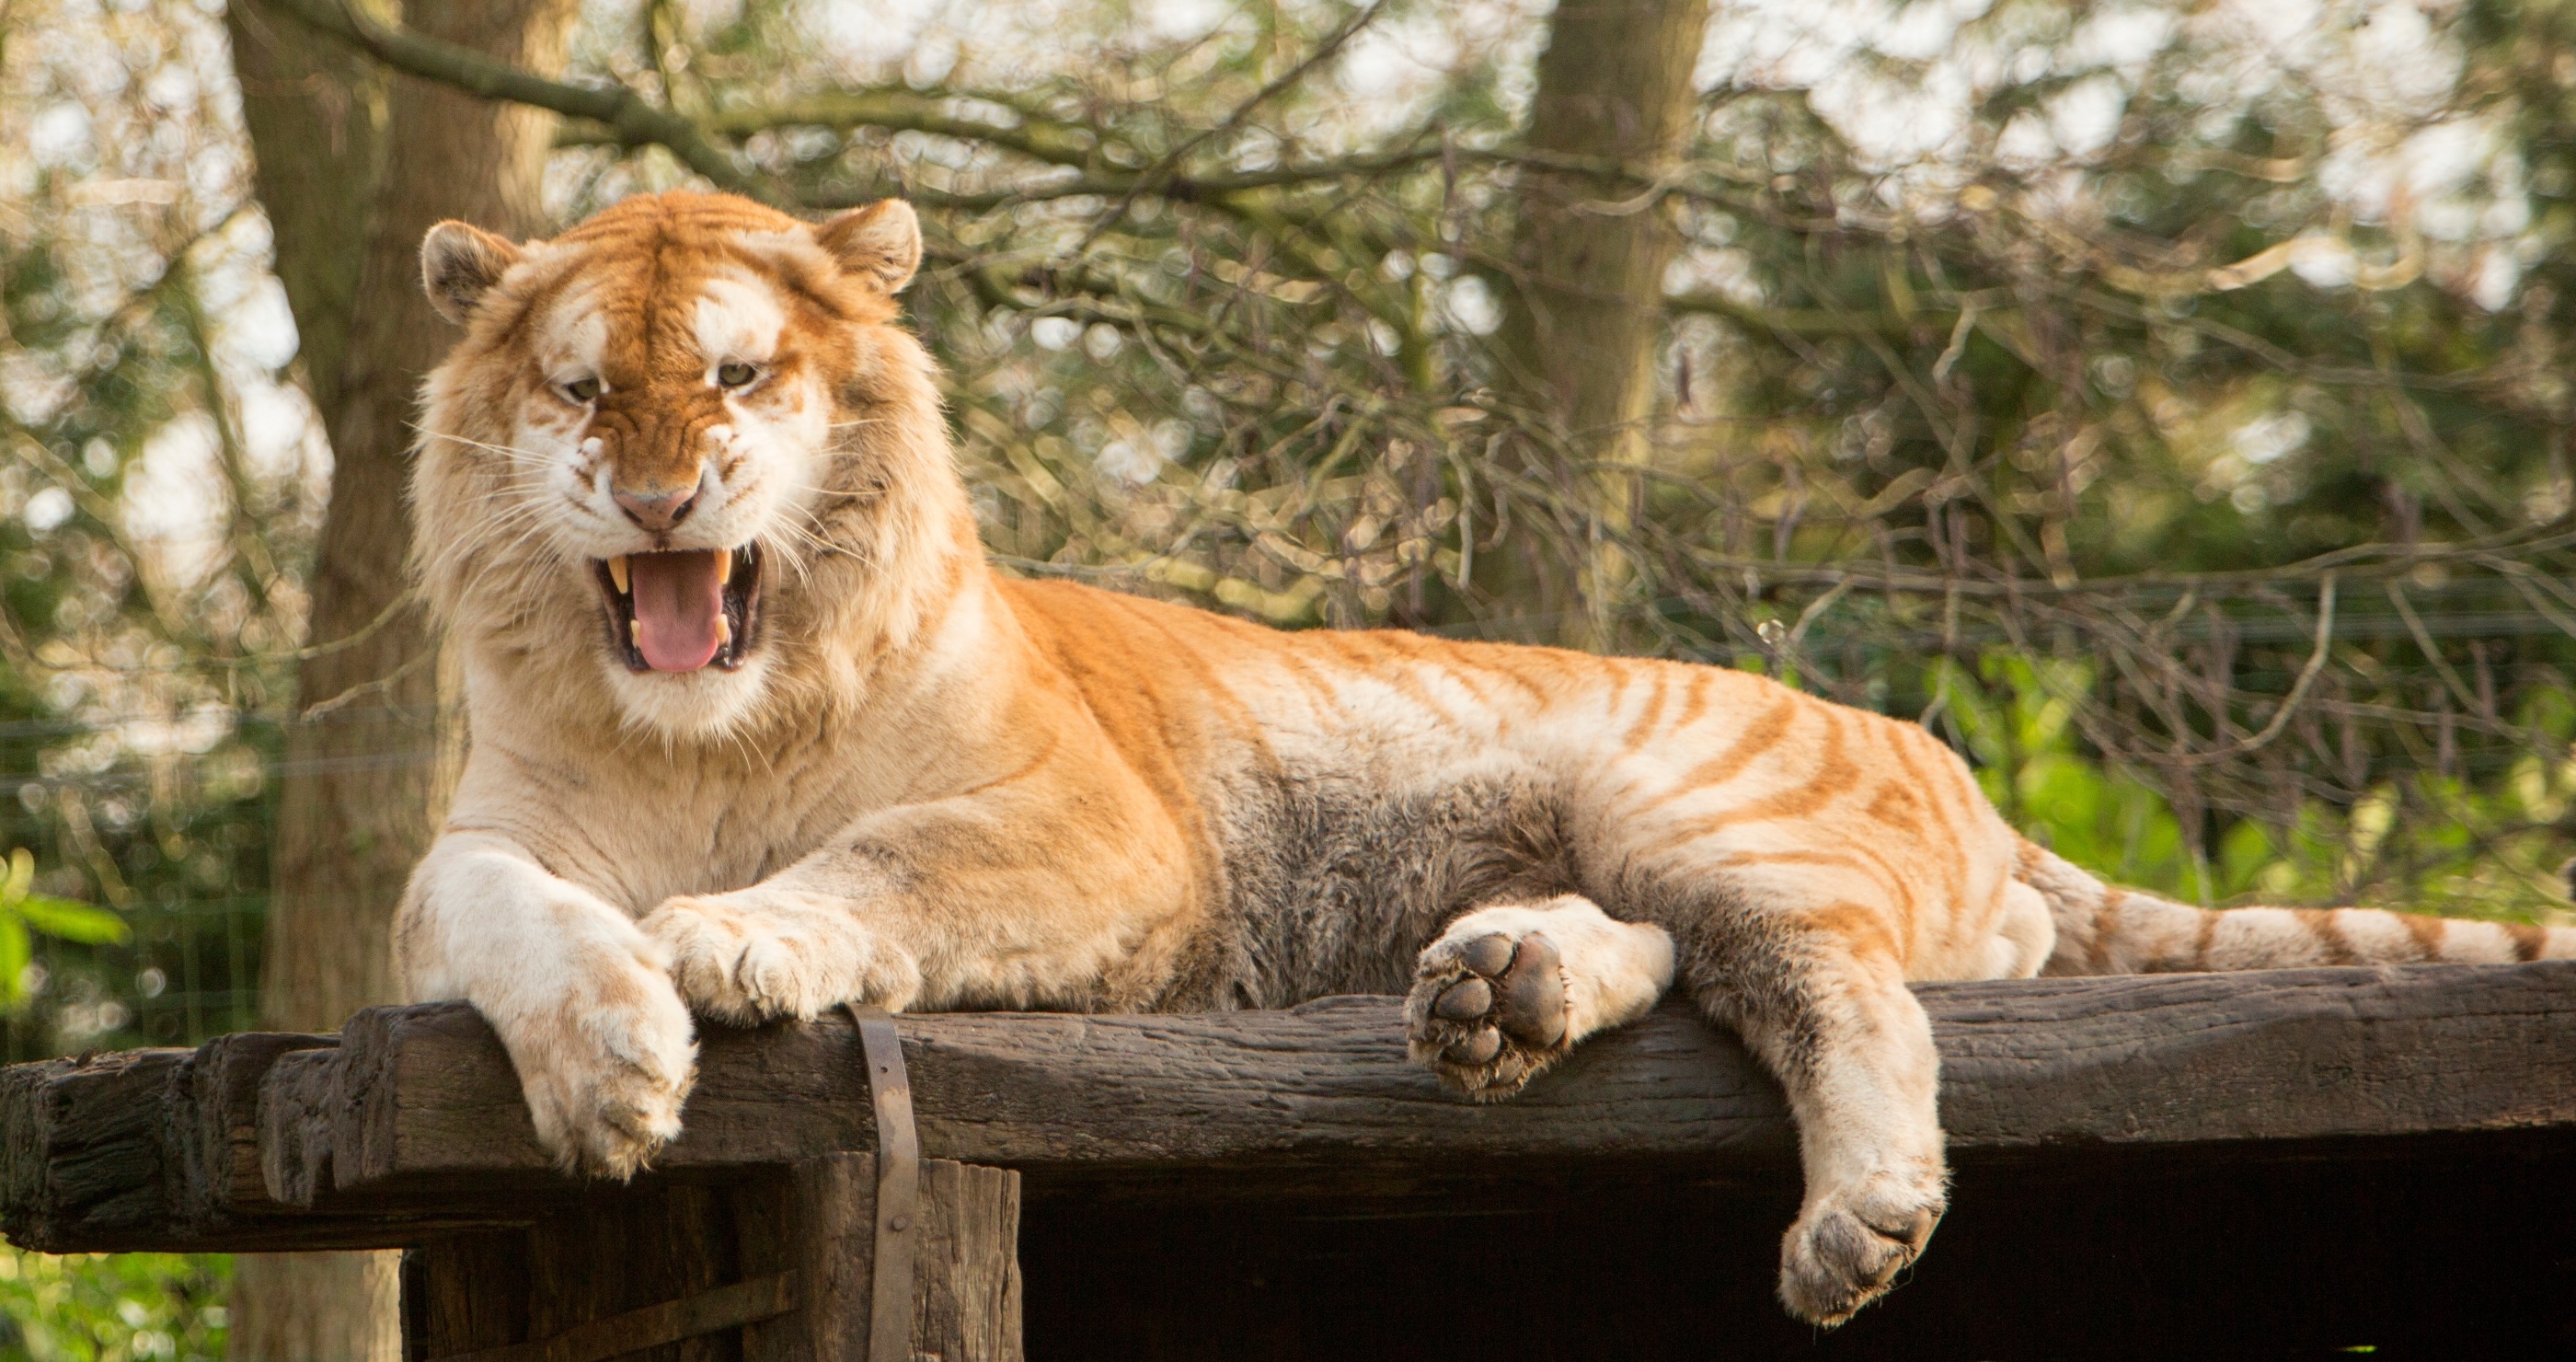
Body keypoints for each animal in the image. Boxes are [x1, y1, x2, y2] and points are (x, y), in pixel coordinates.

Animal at [398, 189, 2576, 1325]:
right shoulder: (478, 849)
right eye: (582, 389)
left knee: (1841, 982)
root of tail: (1951, 762)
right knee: (1696, 961)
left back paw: (1843, 1214)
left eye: (741, 373)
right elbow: (495, 903)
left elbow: (881, 862)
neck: (712, 724)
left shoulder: (1096, 835)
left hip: (1697, 798)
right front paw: (607, 1064)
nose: (661, 498)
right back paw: (1495, 998)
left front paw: (732, 943)